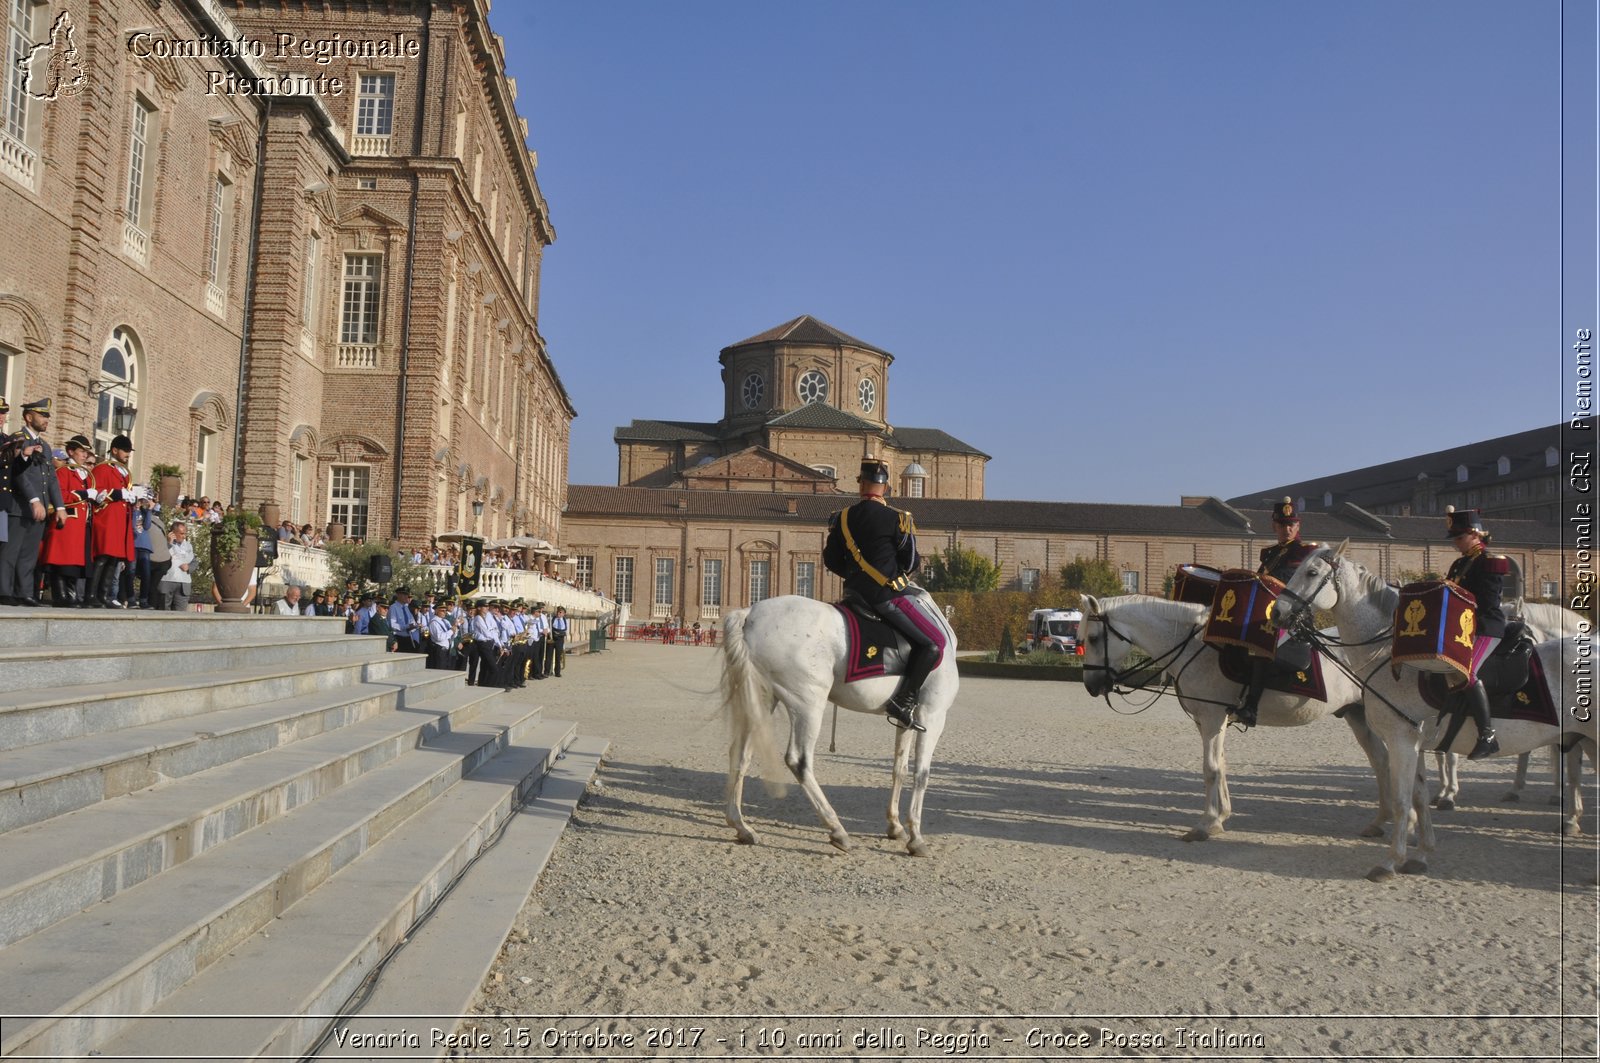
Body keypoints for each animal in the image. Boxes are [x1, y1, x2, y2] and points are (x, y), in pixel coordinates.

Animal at [720, 592, 953, 858]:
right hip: (809, 703)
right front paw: (916, 837)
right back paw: (837, 830)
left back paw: (741, 826)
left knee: (740, 754)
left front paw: (895, 826)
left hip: (762, 700)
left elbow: (900, 769)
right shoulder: (933, 715)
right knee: (799, 760)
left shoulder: (906, 720)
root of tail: (750, 613)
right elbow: (922, 774)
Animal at [1075, 592, 1401, 845]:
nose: (1091, 685)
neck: (1196, 648)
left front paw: (1206, 823)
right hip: (1357, 715)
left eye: (1093, 637)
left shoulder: (1211, 718)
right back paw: (1380, 821)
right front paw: (1221, 816)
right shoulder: (1209, 721)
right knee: (1381, 760)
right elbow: (1221, 765)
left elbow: (1210, 769)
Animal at [1267, 544, 1593, 883]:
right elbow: (1419, 797)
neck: (1390, 659)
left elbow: (1401, 799)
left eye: (1311, 572)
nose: (1276, 613)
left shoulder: (1402, 742)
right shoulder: (1415, 745)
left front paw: (1390, 862)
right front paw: (1421, 854)